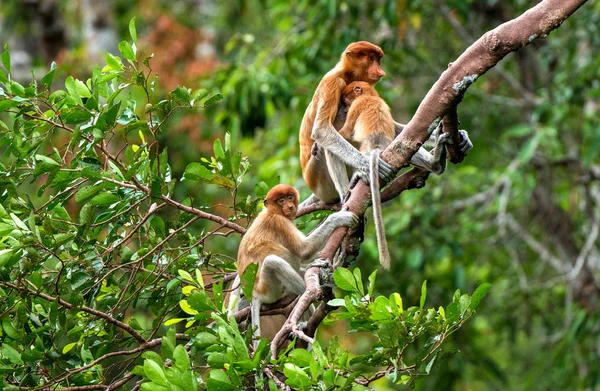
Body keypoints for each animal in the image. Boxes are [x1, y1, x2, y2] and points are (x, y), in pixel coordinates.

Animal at [231, 184, 358, 346]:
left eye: (290, 197)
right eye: (281, 200)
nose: (290, 206)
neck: (272, 212)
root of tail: (253, 294)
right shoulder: (280, 222)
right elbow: (304, 251)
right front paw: (340, 217)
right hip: (269, 291)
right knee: (273, 262)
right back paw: (317, 291)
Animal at [300, 41, 474, 208]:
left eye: (378, 60)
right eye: (371, 59)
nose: (380, 72)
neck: (347, 75)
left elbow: (393, 126)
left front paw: (462, 136)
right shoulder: (333, 81)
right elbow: (321, 130)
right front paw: (366, 164)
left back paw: (435, 163)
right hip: (320, 182)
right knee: (322, 146)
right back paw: (346, 193)